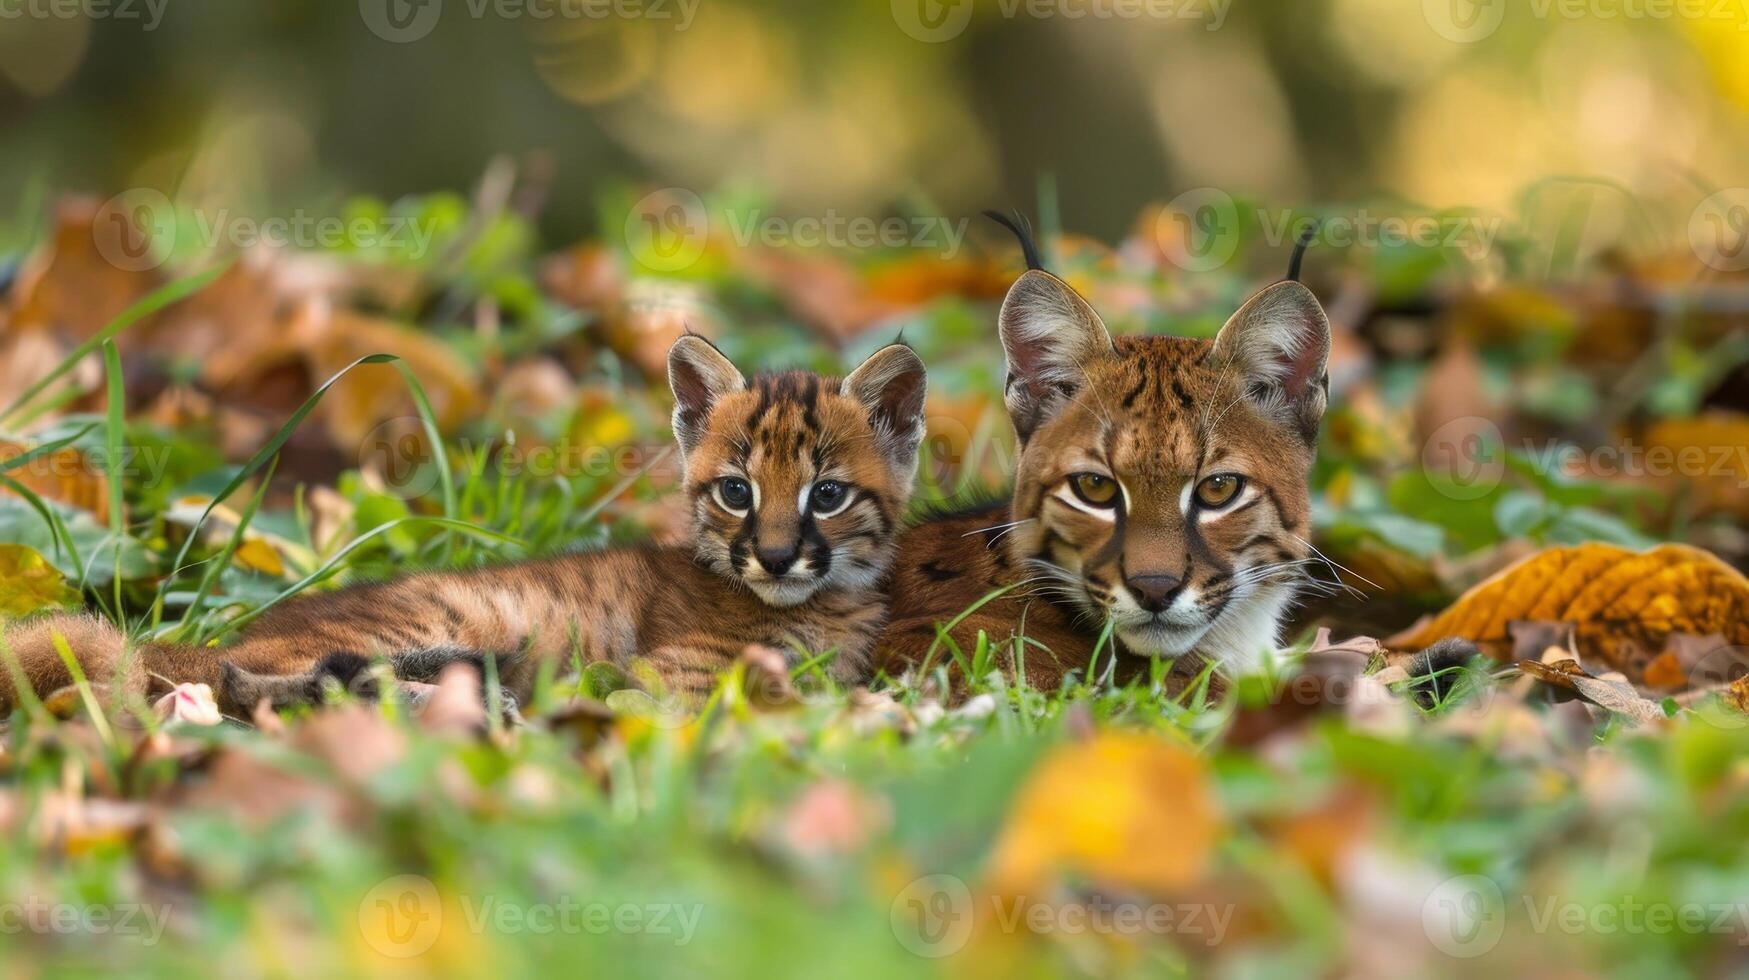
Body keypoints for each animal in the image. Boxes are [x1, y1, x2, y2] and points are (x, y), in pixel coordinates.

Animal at [3, 341, 930, 717]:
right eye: (737, 491)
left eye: (826, 495)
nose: (772, 557)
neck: (813, 606)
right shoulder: (675, 678)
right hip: (437, 619)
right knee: (243, 682)